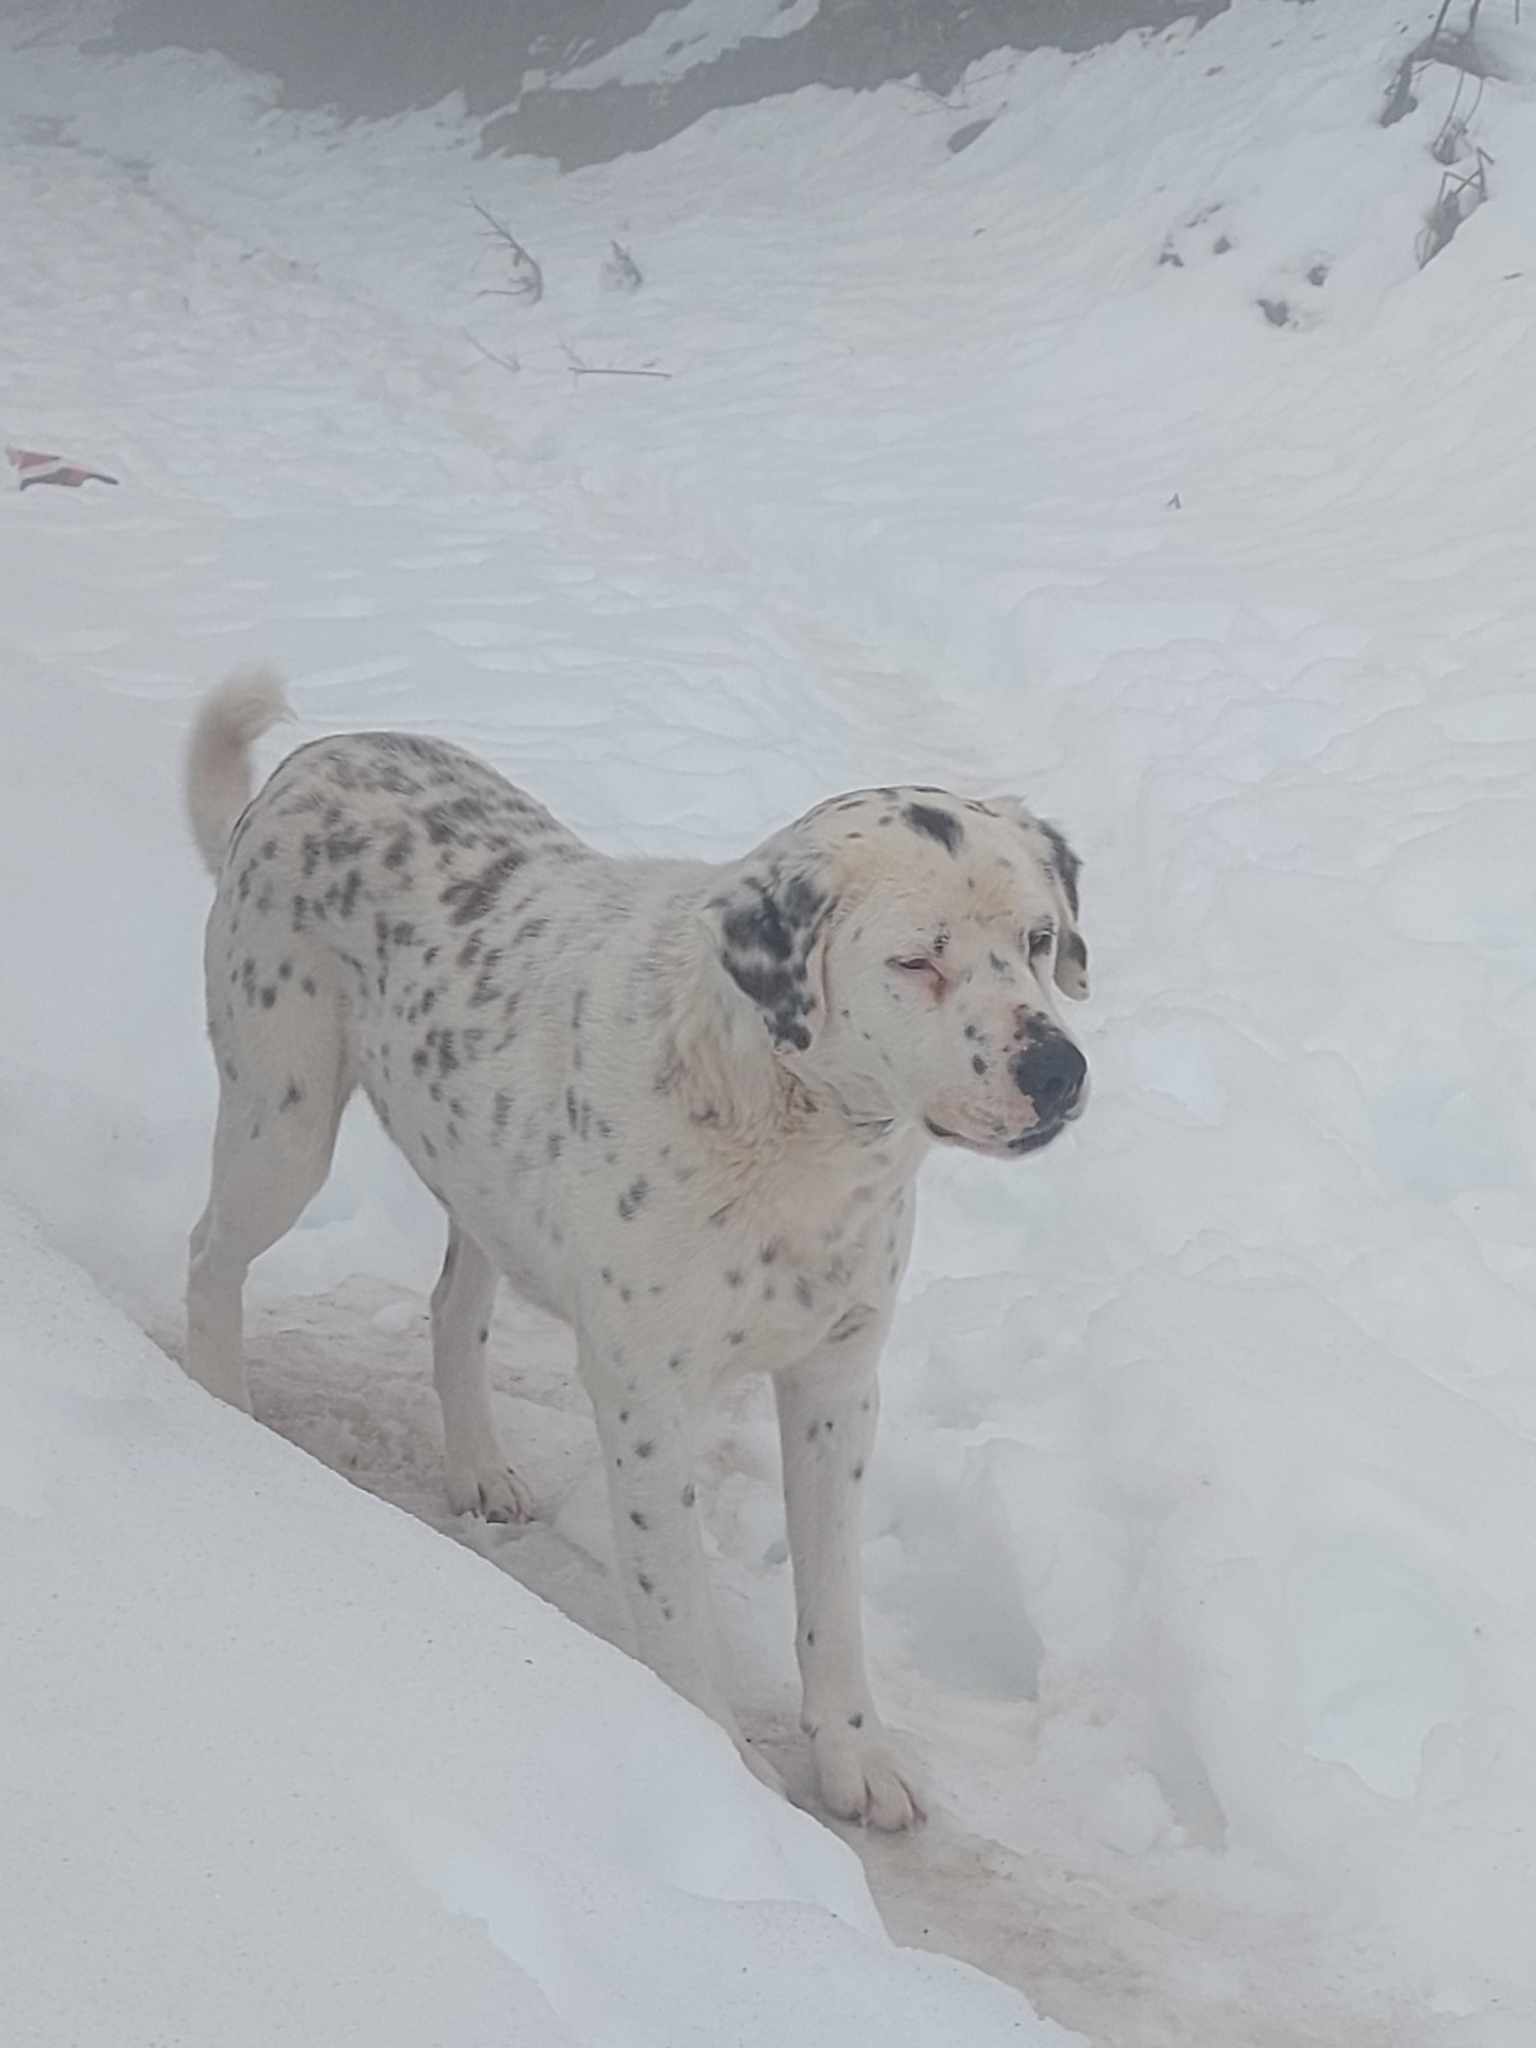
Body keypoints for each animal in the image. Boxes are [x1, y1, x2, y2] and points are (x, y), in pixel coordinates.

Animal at [183, 663, 1097, 1835]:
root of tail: (310, 761)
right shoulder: (647, 1395)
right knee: (210, 1255)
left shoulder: (840, 1381)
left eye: (1037, 940)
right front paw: (724, 1775)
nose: (1059, 1071)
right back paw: (223, 1407)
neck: (798, 1137)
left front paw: (856, 1753)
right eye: (916, 962)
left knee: (452, 1307)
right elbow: (676, 1608)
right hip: (281, 1123)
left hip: (481, 1173)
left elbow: (833, 1599)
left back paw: (480, 1466)